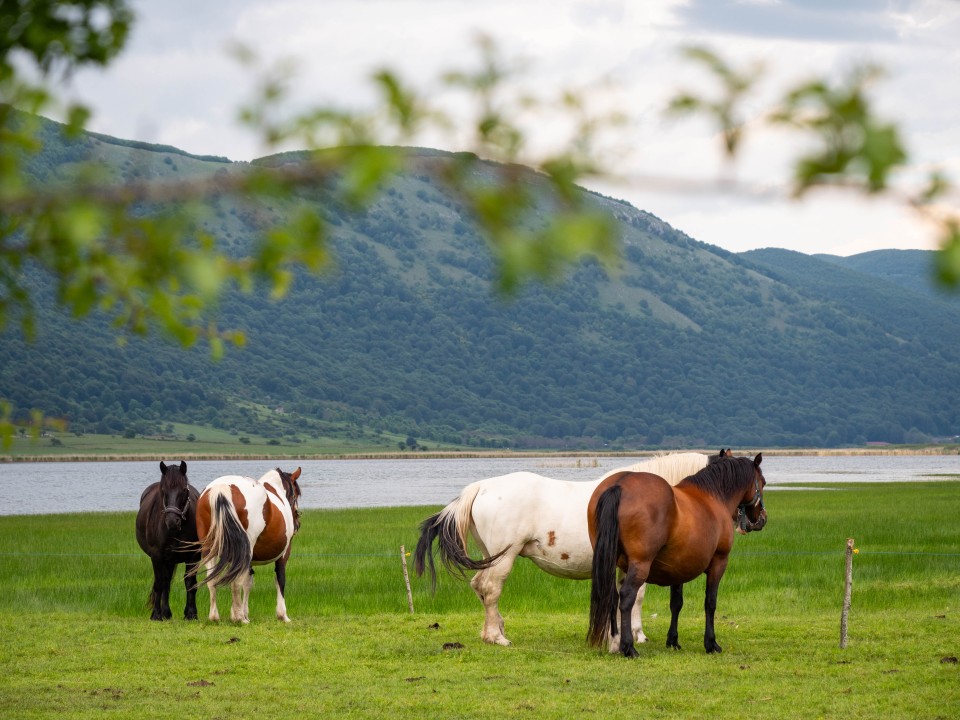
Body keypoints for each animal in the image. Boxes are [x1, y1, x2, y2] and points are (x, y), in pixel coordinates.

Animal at [135, 464, 201, 620]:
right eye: (163, 491)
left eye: (184, 490)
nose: (172, 521)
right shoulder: (157, 555)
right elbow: (160, 583)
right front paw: (156, 614)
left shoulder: (194, 555)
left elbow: (190, 582)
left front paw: (191, 613)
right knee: (165, 582)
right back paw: (164, 612)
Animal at [195, 470, 300, 620]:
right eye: (296, 494)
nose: (297, 524)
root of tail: (221, 488)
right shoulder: (284, 553)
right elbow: (280, 579)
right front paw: (282, 615)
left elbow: (247, 583)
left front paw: (242, 612)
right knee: (235, 582)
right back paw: (239, 619)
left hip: (209, 549)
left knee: (213, 580)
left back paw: (215, 616)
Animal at [412, 450, 712, 648]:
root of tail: (481, 486)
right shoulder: (639, 561)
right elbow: (636, 597)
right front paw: (637, 634)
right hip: (504, 557)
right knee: (491, 588)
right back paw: (498, 637)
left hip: (490, 556)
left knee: (479, 586)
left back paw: (492, 630)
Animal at [584, 456, 764, 660]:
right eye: (763, 483)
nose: (762, 519)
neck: (713, 497)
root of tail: (619, 484)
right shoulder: (719, 563)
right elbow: (710, 603)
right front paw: (711, 643)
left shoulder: (679, 569)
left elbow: (676, 604)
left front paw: (673, 640)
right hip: (640, 565)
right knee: (627, 597)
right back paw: (628, 647)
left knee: (612, 597)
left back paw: (615, 643)